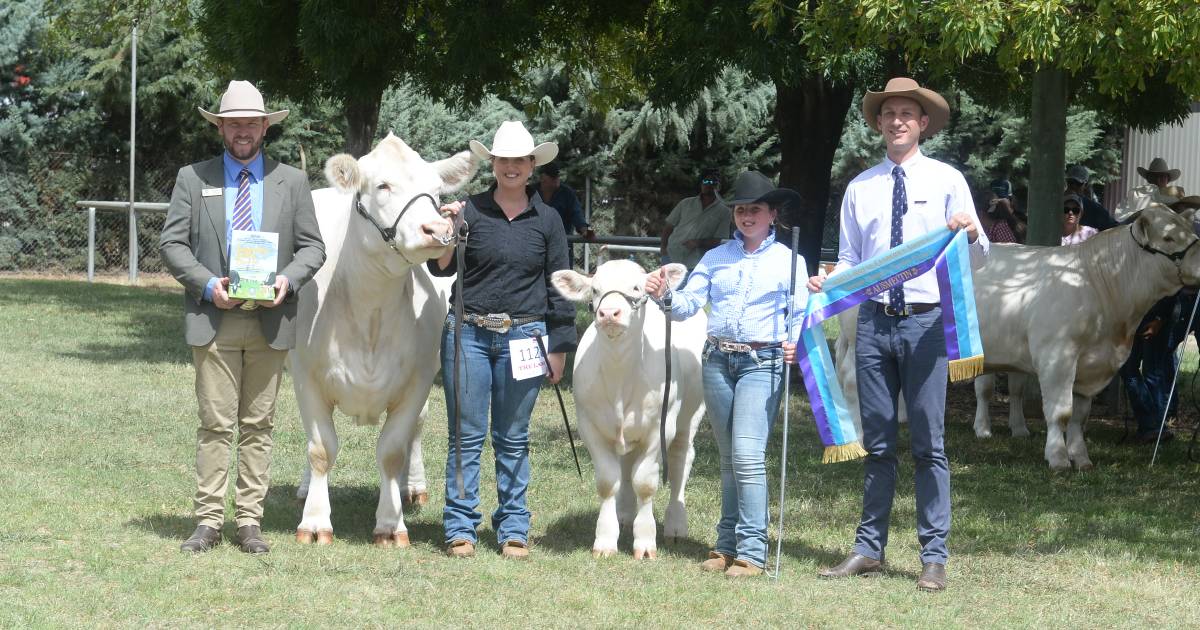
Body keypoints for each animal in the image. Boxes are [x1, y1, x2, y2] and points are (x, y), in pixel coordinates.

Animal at [840, 208, 1200, 468]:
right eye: (1168, 237)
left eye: (1192, 232)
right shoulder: (1057, 356)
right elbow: (1061, 412)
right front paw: (1058, 458)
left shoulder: (1094, 365)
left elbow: (1080, 415)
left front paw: (1081, 457)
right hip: (859, 343)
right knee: (852, 384)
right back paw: (857, 434)